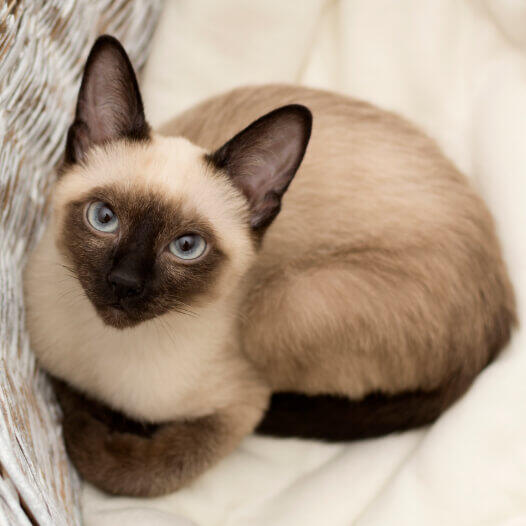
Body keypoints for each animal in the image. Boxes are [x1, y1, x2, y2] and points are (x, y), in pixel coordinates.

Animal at [23, 37, 516, 500]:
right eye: (104, 218)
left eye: (187, 247)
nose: (124, 284)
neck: (104, 359)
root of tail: (497, 330)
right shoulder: (52, 362)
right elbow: (73, 400)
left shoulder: (240, 407)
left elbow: (134, 469)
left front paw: (105, 433)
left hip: (283, 306)